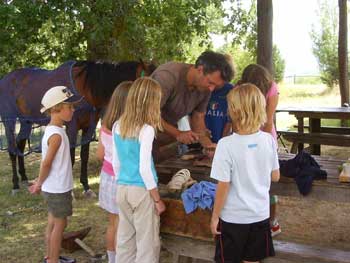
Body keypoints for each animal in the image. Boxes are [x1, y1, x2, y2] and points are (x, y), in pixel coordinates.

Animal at [0, 60, 156, 196]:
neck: (86, 88)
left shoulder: (88, 127)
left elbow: (84, 156)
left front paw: (86, 186)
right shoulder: (72, 127)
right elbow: (70, 157)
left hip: (26, 121)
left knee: (20, 145)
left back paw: (24, 178)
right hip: (10, 121)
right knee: (12, 150)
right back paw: (15, 185)